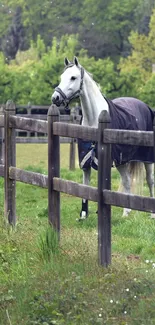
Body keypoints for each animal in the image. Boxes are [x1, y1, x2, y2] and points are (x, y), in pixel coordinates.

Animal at [51, 57, 154, 220]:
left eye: (73, 77)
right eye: (62, 77)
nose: (55, 98)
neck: (94, 119)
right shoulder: (85, 160)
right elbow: (85, 186)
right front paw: (84, 214)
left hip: (147, 158)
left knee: (150, 180)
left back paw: (151, 214)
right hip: (122, 161)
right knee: (127, 181)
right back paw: (126, 212)